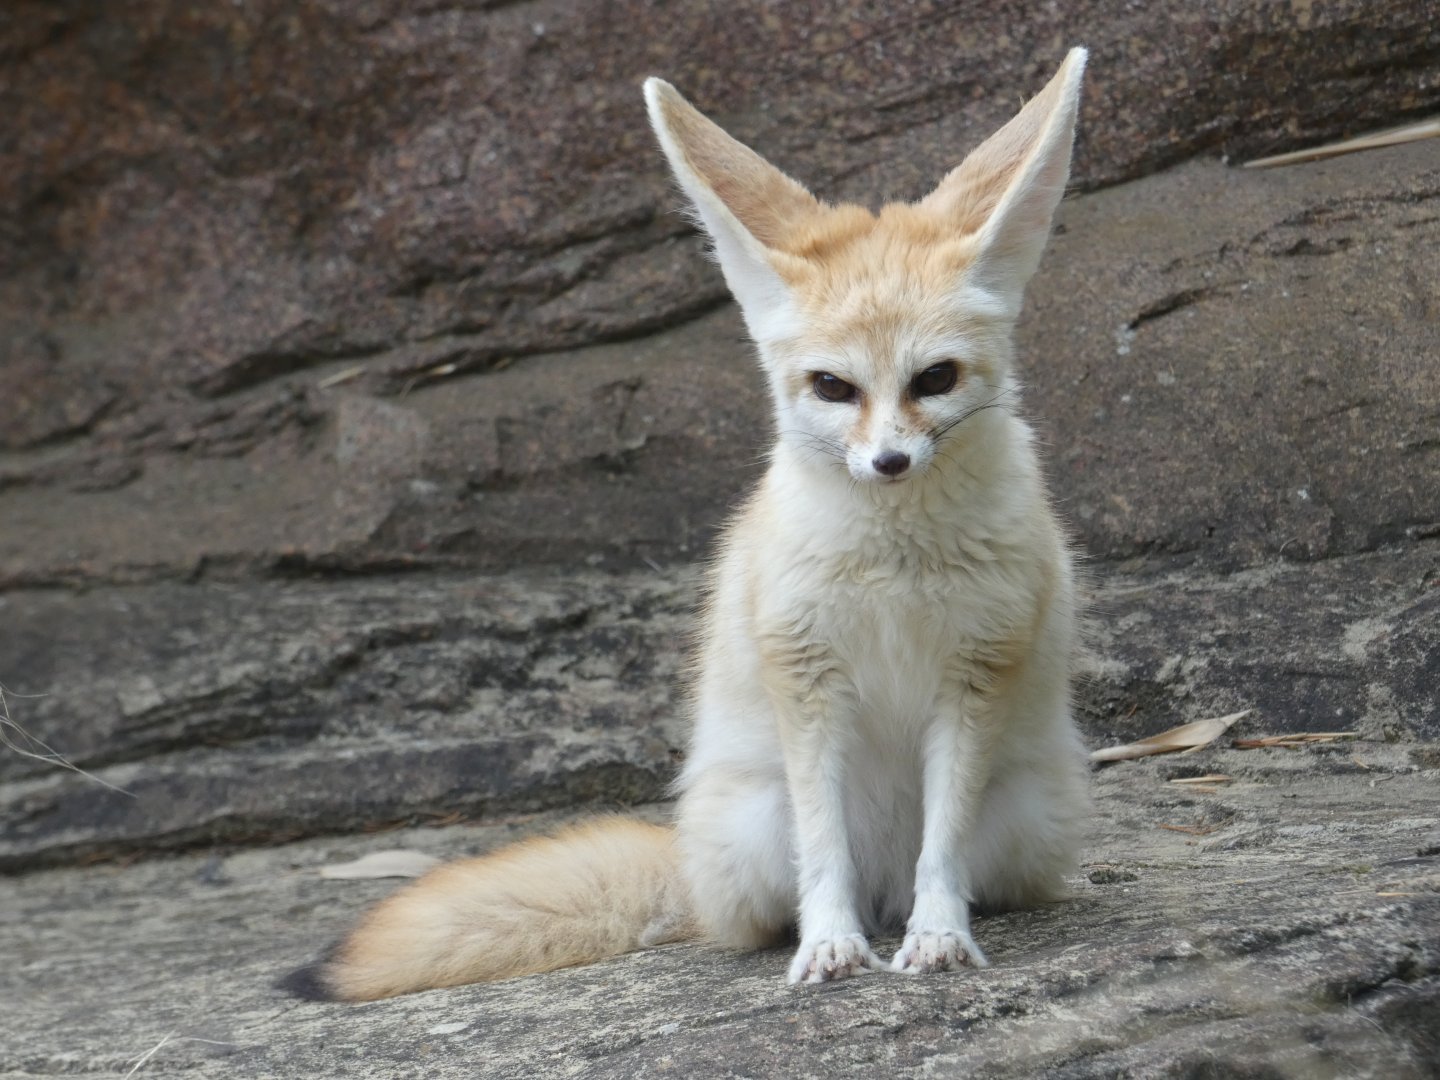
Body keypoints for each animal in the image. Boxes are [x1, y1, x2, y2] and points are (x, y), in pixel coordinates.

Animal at [286, 47, 1092, 1000]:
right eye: (834, 387)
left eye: (934, 380)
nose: (889, 463)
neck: (895, 562)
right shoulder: (805, 681)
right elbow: (824, 850)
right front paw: (830, 945)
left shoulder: (975, 677)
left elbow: (944, 849)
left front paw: (938, 936)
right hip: (757, 823)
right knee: (772, 908)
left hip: (1025, 811)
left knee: (939, 871)